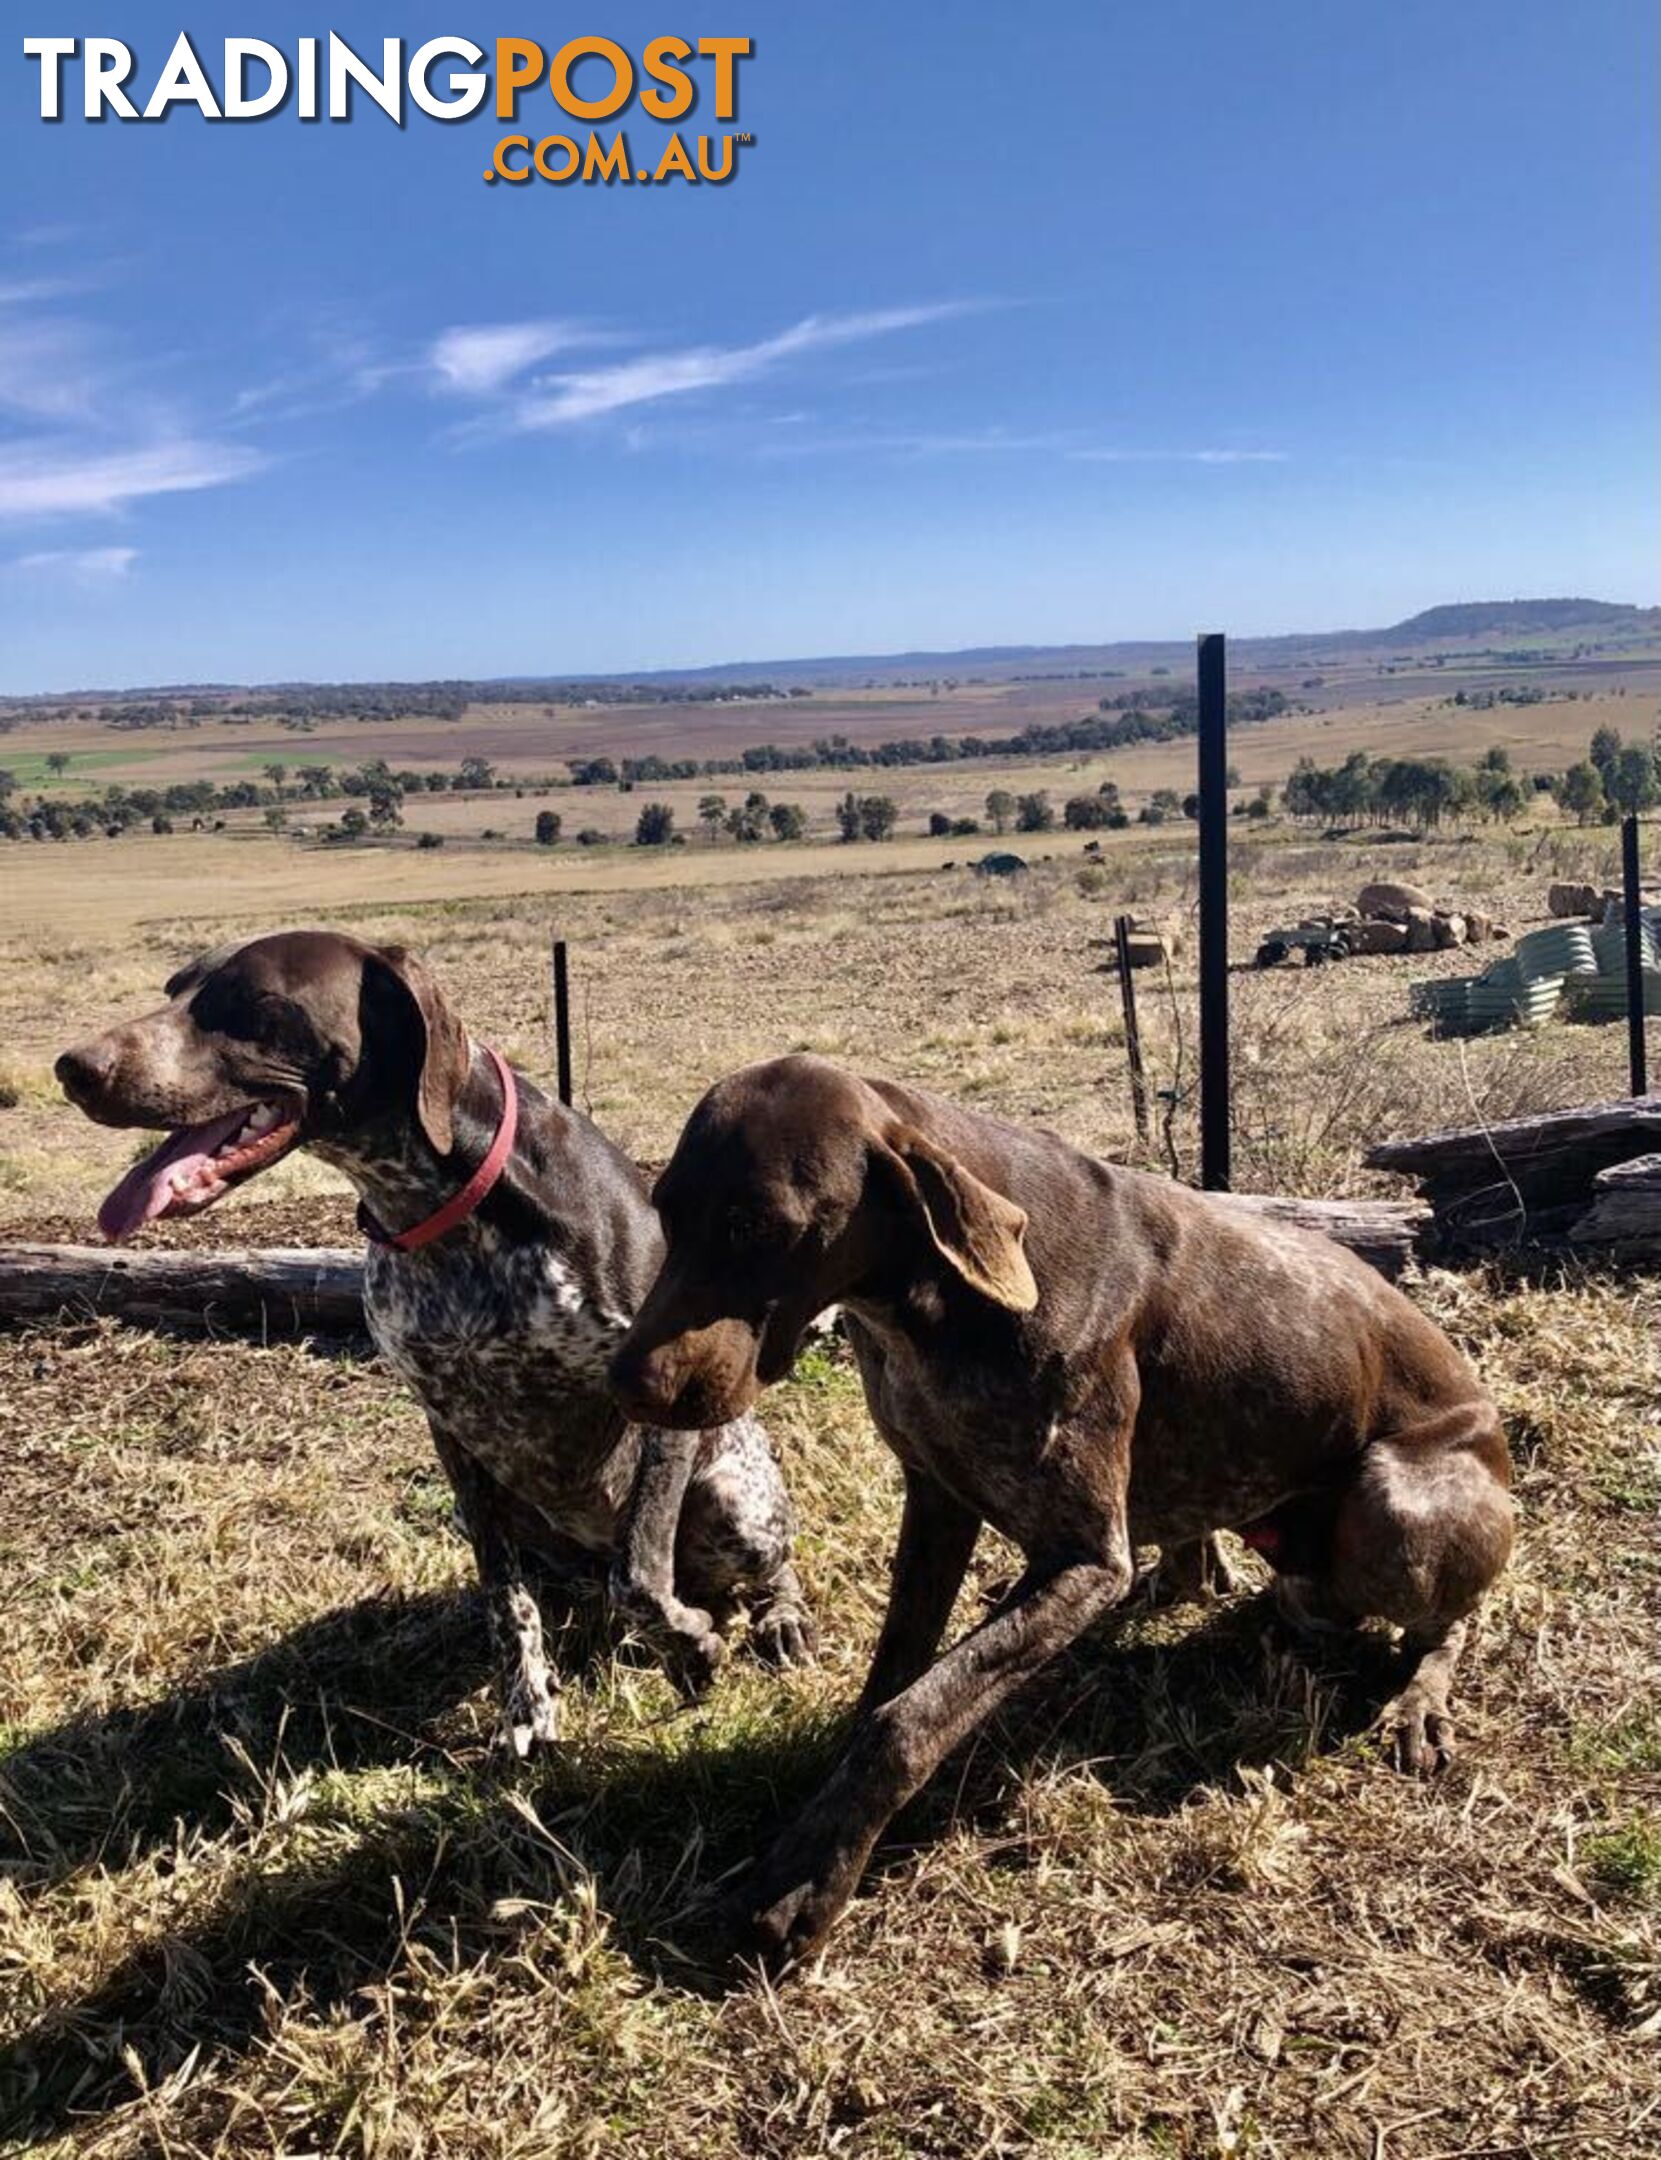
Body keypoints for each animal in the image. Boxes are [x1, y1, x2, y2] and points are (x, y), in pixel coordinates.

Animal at [58, 933, 816, 1753]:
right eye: (175, 989)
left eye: (253, 1001)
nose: (73, 1067)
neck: (446, 1210)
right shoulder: (451, 1425)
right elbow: (506, 1600)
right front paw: (527, 1708)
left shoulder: (658, 1401)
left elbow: (640, 1576)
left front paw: (693, 1645)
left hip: (738, 1498)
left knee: (759, 1565)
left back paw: (779, 1618)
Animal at [613, 1054, 1520, 1969]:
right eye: (668, 1213)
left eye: (757, 1225)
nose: (628, 1383)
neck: (935, 1307)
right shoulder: (936, 1500)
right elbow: (891, 1680)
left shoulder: (1083, 1560)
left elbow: (908, 1719)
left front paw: (802, 1887)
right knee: (1237, 1577)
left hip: (1393, 1501)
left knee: (1449, 1619)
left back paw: (1419, 1700)